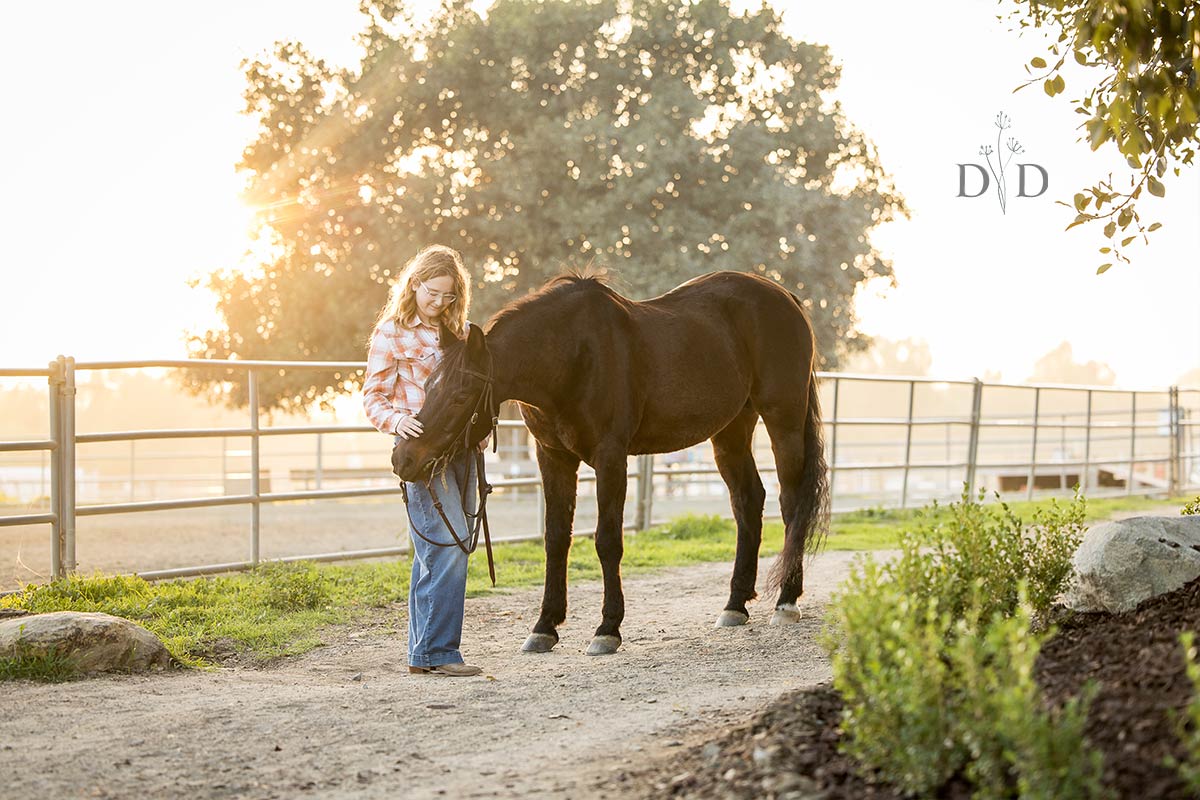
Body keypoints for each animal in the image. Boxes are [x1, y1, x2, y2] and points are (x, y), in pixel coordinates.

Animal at [391, 270, 830, 656]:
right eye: (427, 383)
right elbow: (556, 539)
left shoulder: (610, 457)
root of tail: (784, 297)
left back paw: (786, 601)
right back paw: (735, 604)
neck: (572, 356)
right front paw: (544, 627)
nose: (404, 459)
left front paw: (607, 629)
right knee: (748, 502)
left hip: (783, 420)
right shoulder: (553, 458)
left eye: (461, 395)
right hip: (731, 430)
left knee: (791, 504)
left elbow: (607, 541)